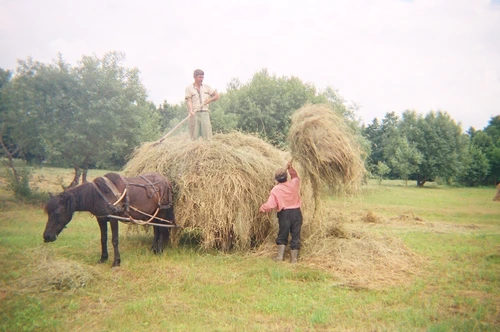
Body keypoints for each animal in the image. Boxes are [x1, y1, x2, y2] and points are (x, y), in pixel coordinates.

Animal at [42, 172, 176, 266]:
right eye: (48, 213)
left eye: (58, 212)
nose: (47, 236)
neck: (99, 195)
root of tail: (166, 180)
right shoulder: (101, 219)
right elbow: (103, 239)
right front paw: (103, 258)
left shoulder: (113, 219)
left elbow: (114, 240)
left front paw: (116, 261)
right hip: (153, 214)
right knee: (156, 230)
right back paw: (154, 249)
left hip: (162, 212)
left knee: (161, 230)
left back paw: (160, 251)